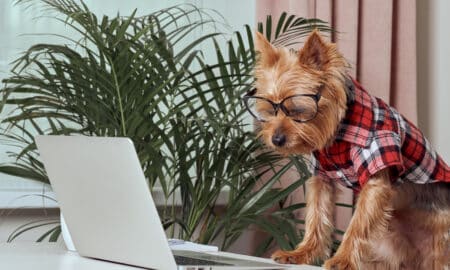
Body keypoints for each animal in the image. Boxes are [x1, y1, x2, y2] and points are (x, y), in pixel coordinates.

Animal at [243, 30, 450, 268]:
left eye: (297, 110)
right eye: (270, 110)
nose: (276, 139)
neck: (338, 133)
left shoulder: (376, 169)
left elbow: (359, 223)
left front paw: (342, 260)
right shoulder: (322, 177)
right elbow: (316, 216)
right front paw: (301, 254)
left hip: (440, 239)